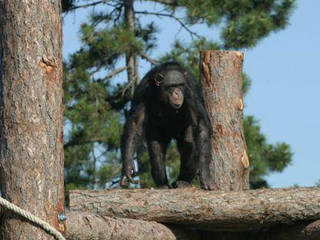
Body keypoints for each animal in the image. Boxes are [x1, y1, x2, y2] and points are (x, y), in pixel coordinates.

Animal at [121, 61, 214, 189]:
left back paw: (183, 181)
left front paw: (204, 172)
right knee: (156, 148)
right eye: (172, 86)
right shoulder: (142, 91)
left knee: (189, 140)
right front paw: (127, 165)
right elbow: (135, 123)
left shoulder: (190, 89)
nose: (177, 92)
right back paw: (162, 184)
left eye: (180, 85)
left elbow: (200, 122)